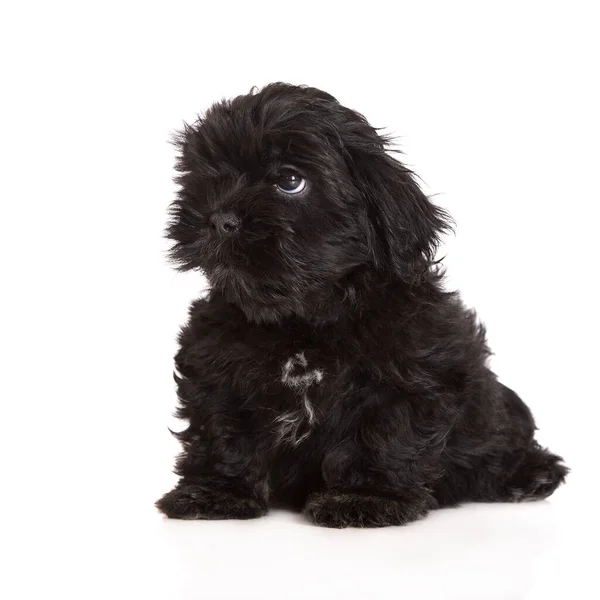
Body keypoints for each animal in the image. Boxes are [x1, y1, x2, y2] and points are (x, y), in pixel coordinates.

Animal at [156, 83, 568, 524]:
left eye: (290, 180)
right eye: (208, 176)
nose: (219, 218)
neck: (302, 320)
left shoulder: (408, 376)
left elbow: (384, 435)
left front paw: (364, 497)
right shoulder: (216, 367)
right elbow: (222, 431)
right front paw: (214, 492)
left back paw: (530, 475)